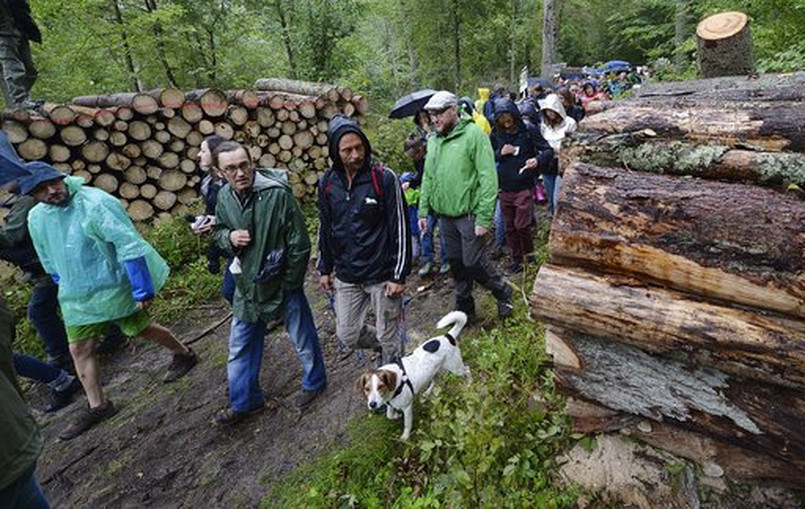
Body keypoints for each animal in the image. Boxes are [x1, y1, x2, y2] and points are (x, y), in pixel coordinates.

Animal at [356, 310, 472, 440]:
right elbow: (389, 415)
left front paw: (405, 437)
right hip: (433, 370)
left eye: (380, 386)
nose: (372, 405)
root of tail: (447, 336)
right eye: (367, 389)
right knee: (435, 380)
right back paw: (427, 392)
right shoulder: (390, 402)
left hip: (456, 368)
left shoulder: (407, 407)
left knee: (467, 370)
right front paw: (395, 416)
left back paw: (470, 383)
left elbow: (407, 425)